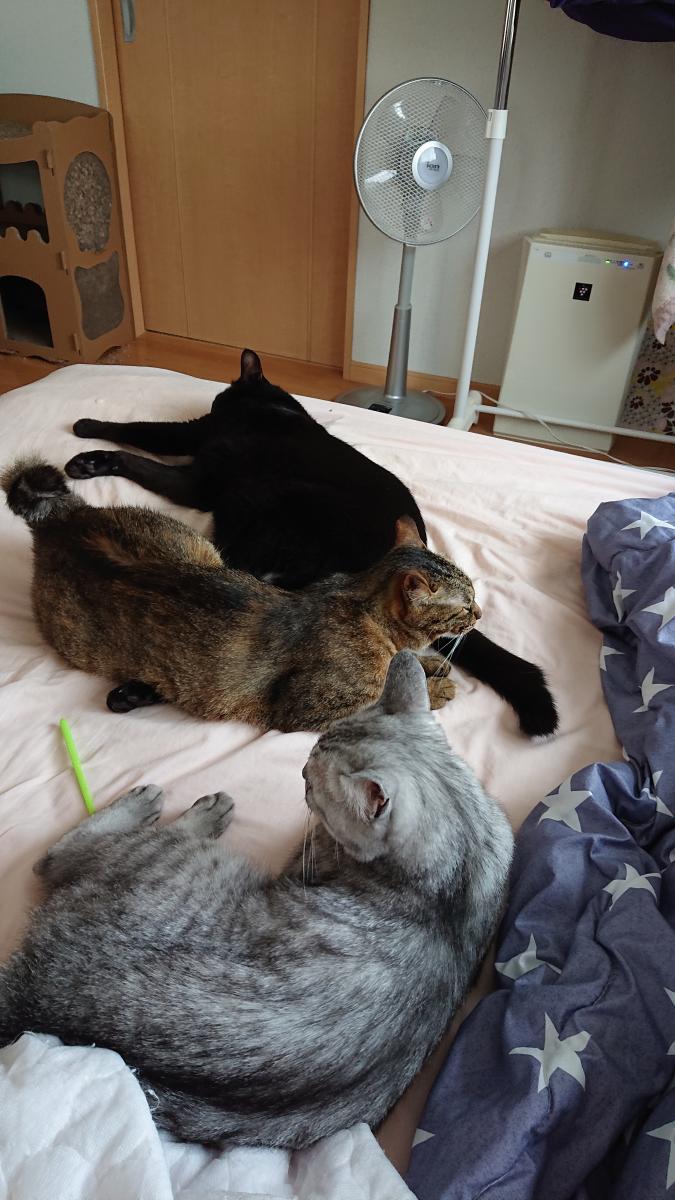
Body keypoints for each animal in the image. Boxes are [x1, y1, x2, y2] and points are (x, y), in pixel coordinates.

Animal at [0, 651, 514, 1148]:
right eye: (308, 761)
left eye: (311, 781)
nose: (300, 772)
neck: (461, 860)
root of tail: (35, 993)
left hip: (164, 857)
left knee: (56, 857)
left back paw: (173, 808)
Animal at [3, 459, 480, 730]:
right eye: (466, 603)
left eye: (476, 593)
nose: (480, 613)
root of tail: (60, 521)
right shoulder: (301, 711)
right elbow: (380, 701)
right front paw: (435, 688)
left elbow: (411, 662)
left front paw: (432, 664)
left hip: (201, 550)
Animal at [64, 348, 558, 739]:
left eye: (224, 396)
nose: (217, 401)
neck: (274, 410)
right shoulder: (195, 448)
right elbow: (140, 434)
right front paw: (89, 441)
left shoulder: (195, 476)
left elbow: (136, 441)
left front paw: (88, 443)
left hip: (263, 517)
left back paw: (137, 689)